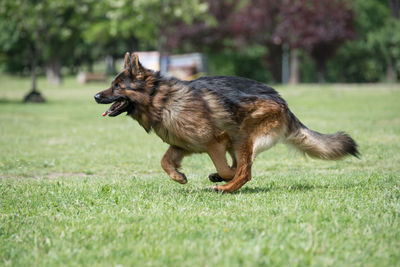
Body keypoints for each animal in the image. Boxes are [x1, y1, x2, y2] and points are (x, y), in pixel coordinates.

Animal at [94, 52, 360, 194]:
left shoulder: (215, 142)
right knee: (241, 165)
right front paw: (179, 177)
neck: (162, 99)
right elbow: (164, 162)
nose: (96, 96)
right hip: (237, 139)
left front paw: (225, 177)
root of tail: (283, 103)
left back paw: (226, 186)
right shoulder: (181, 146)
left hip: (241, 136)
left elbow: (227, 168)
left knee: (245, 170)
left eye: (118, 86)